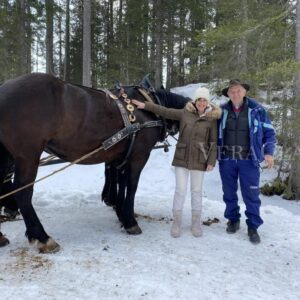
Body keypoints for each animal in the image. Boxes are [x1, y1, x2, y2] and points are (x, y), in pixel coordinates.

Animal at [0, 73, 188, 253]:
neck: (150, 105)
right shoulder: (139, 156)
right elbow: (131, 186)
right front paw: (130, 221)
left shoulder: (121, 155)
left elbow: (120, 183)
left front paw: (120, 213)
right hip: (28, 155)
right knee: (22, 193)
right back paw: (43, 238)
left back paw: (3, 236)